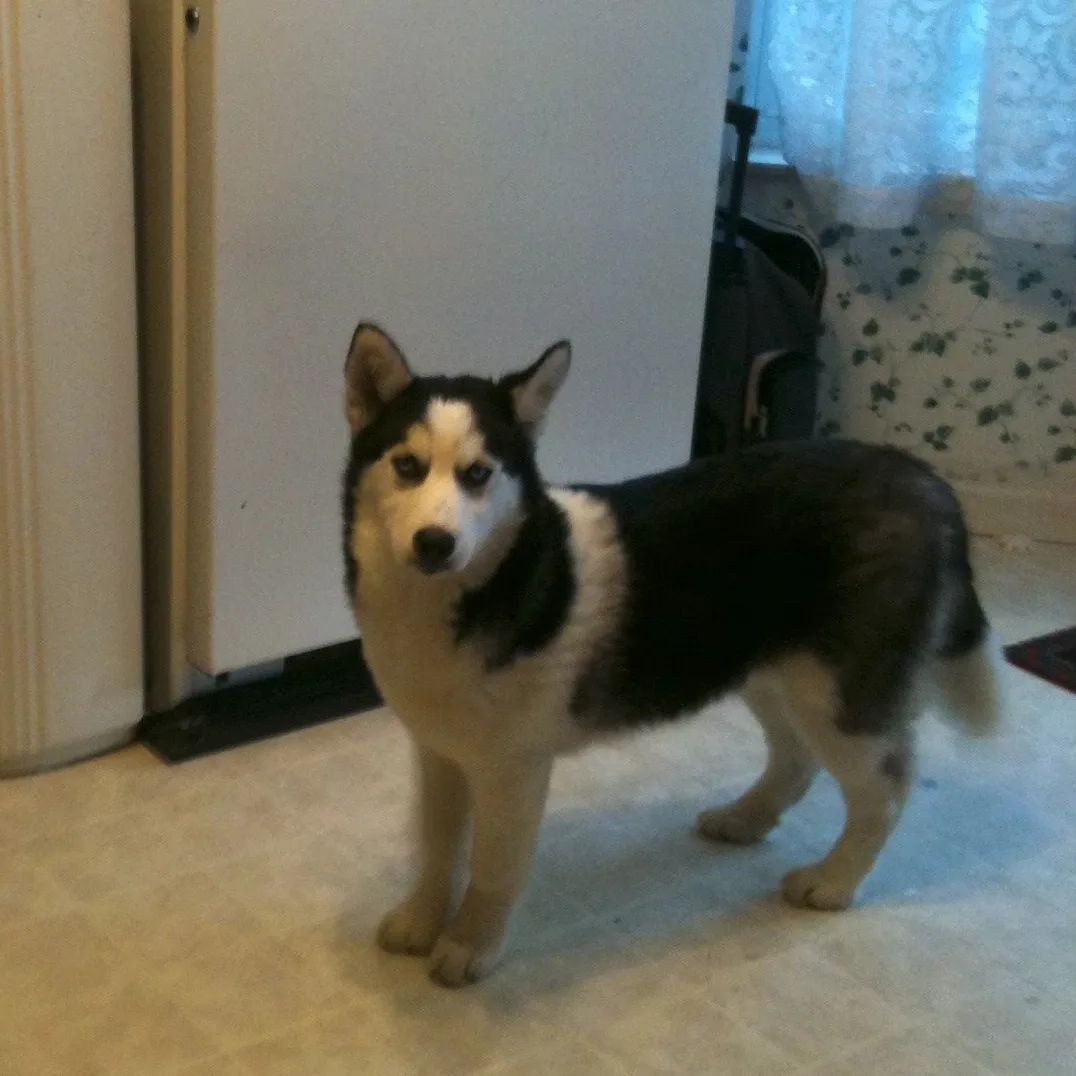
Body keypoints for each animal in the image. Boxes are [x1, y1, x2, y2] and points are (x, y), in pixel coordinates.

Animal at [337, 318, 998, 985]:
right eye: (408, 466)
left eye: (478, 475)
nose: (434, 543)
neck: (468, 593)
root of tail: (924, 477)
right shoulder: (439, 750)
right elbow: (437, 846)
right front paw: (421, 918)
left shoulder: (512, 767)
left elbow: (494, 870)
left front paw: (469, 944)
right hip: (771, 670)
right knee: (796, 757)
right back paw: (746, 818)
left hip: (839, 693)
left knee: (885, 790)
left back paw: (833, 881)